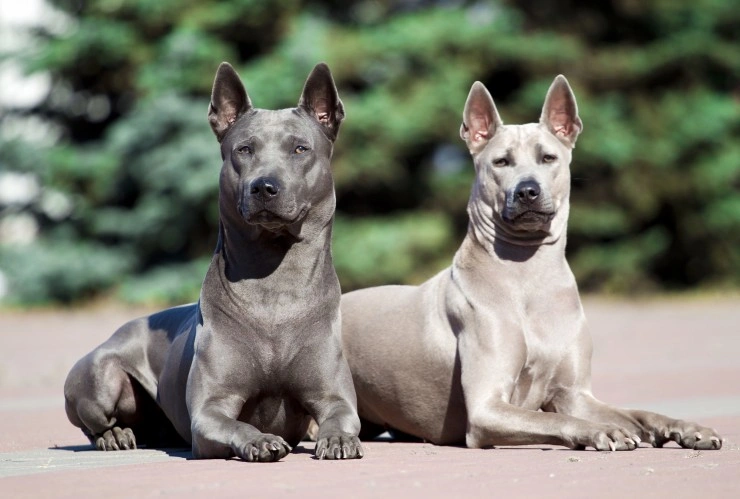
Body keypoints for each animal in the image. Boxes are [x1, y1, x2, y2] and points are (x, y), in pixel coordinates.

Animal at [62, 63, 362, 464]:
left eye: (300, 148)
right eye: (244, 149)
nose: (264, 186)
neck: (276, 287)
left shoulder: (334, 396)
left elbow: (342, 416)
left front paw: (338, 439)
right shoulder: (210, 410)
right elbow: (235, 424)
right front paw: (260, 440)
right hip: (100, 376)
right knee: (95, 422)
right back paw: (115, 435)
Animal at [342, 75, 724, 454]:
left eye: (548, 157)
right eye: (501, 162)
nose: (527, 191)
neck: (528, 275)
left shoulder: (575, 394)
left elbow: (638, 413)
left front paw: (686, 429)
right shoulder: (486, 409)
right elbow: (553, 420)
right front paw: (601, 432)